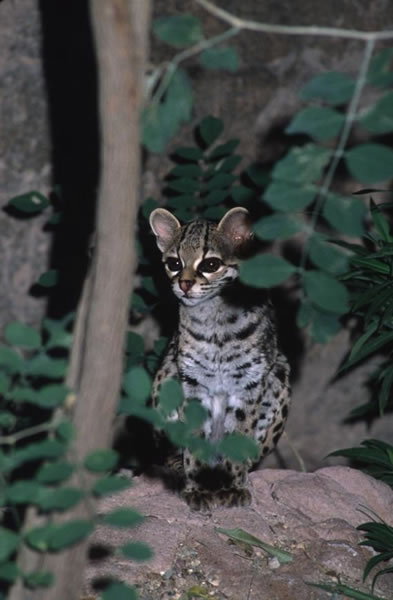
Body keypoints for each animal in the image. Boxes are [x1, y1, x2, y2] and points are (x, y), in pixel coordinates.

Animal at [149, 206, 290, 510]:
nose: (184, 284)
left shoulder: (250, 380)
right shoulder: (191, 379)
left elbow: (239, 435)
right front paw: (196, 488)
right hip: (166, 374)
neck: (214, 318)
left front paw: (233, 485)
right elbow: (194, 439)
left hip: (281, 374)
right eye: (174, 263)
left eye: (211, 265)